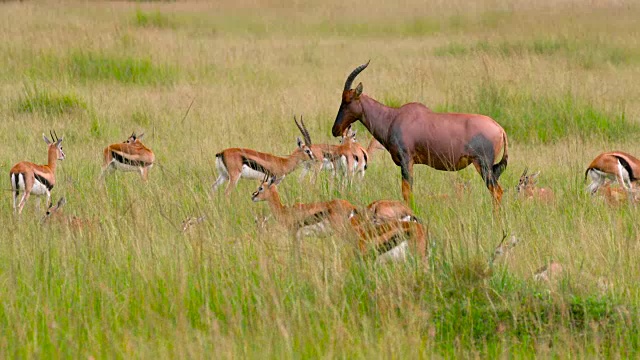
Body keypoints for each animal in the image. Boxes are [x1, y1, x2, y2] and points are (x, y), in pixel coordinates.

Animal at [332, 62, 508, 205]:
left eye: (347, 100)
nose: (335, 130)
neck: (394, 117)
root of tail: (500, 129)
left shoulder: (406, 160)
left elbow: (407, 192)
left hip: (483, 165)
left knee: (497, 192)